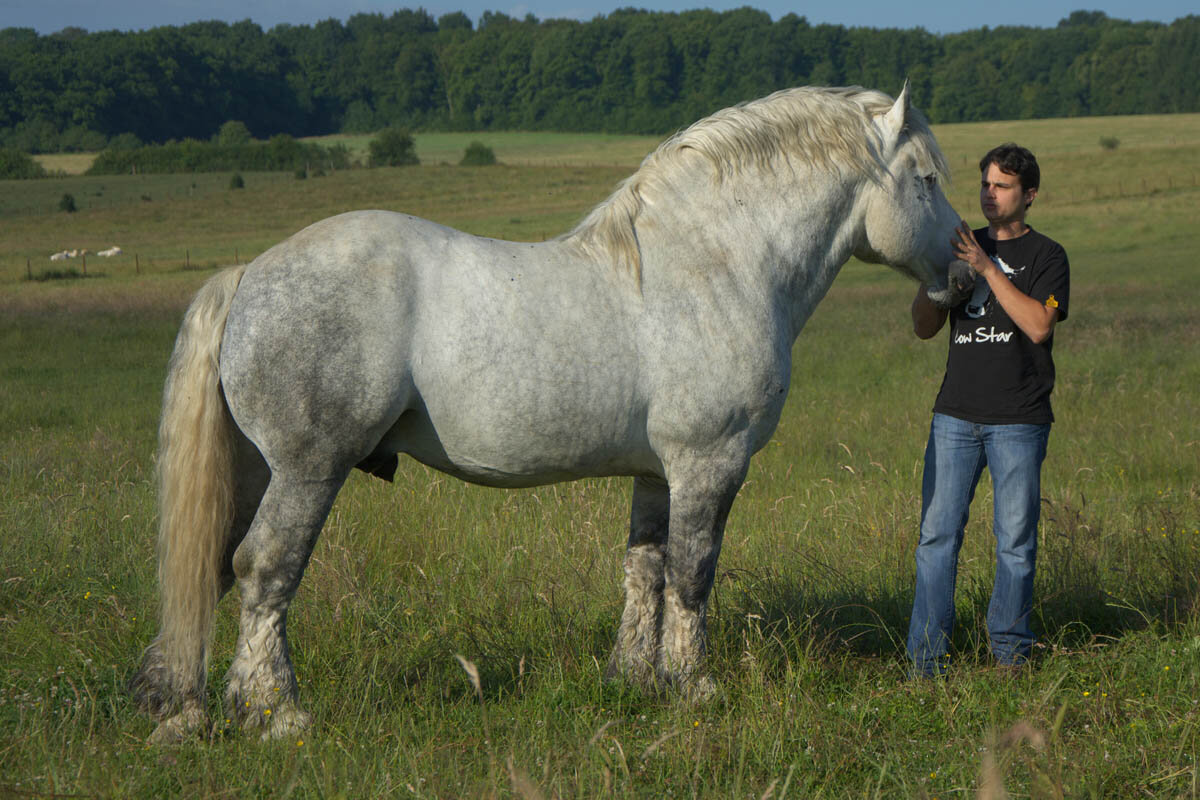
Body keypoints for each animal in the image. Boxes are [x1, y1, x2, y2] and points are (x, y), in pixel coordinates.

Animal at [131, 84, 969, 743]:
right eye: (926, 179)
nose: (964, 276)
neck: (713, 265)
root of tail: (250, 274)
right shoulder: (710, 462)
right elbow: (692, 572)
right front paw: (694, 686)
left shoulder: (657, 473)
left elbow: (645, 570)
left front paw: (634, 680)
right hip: (308, 471)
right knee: (264, 567)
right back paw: (276, 712)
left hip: (252, 470)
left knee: (211, 565)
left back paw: (184, 709)